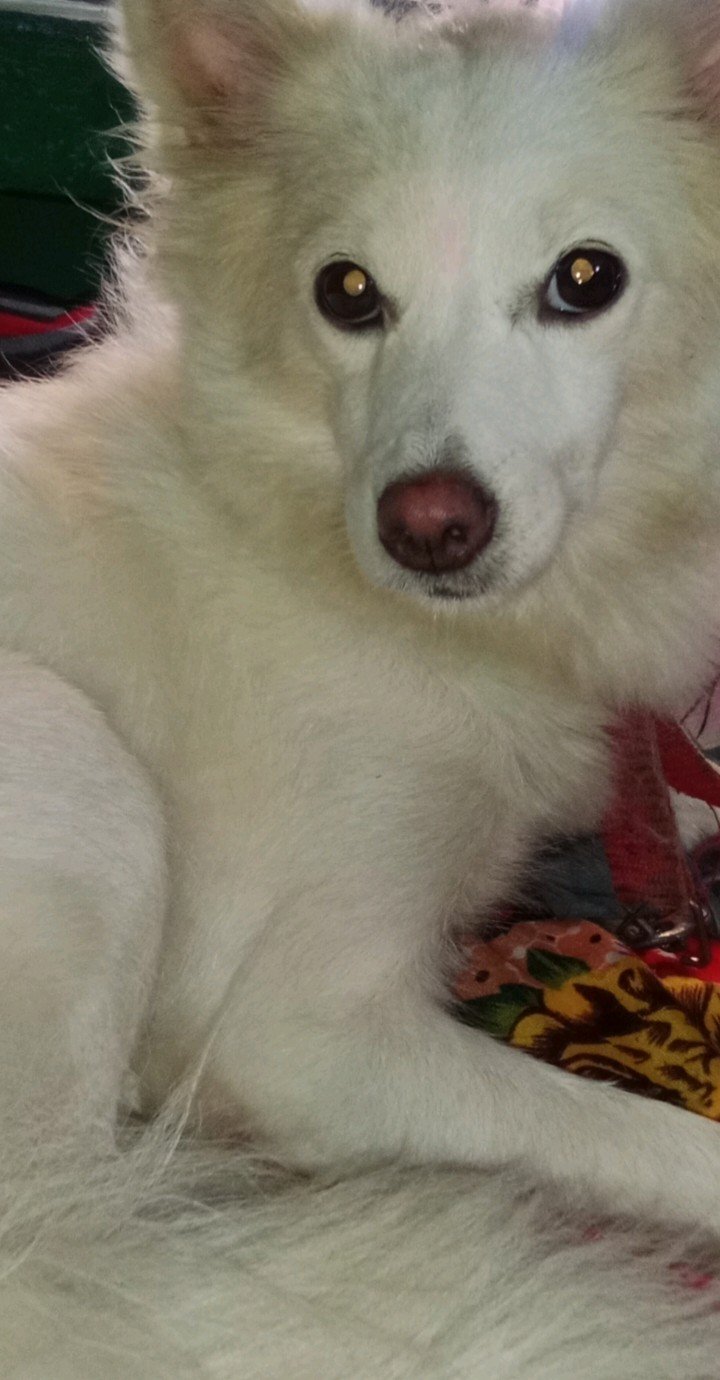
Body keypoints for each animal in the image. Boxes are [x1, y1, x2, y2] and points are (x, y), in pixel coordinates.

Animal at [0, 0, 717, 1374]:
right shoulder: (298, 1030)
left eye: (585, 279)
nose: (428, 527)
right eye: (348, 293)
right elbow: (654, 1139)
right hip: (82, 767)